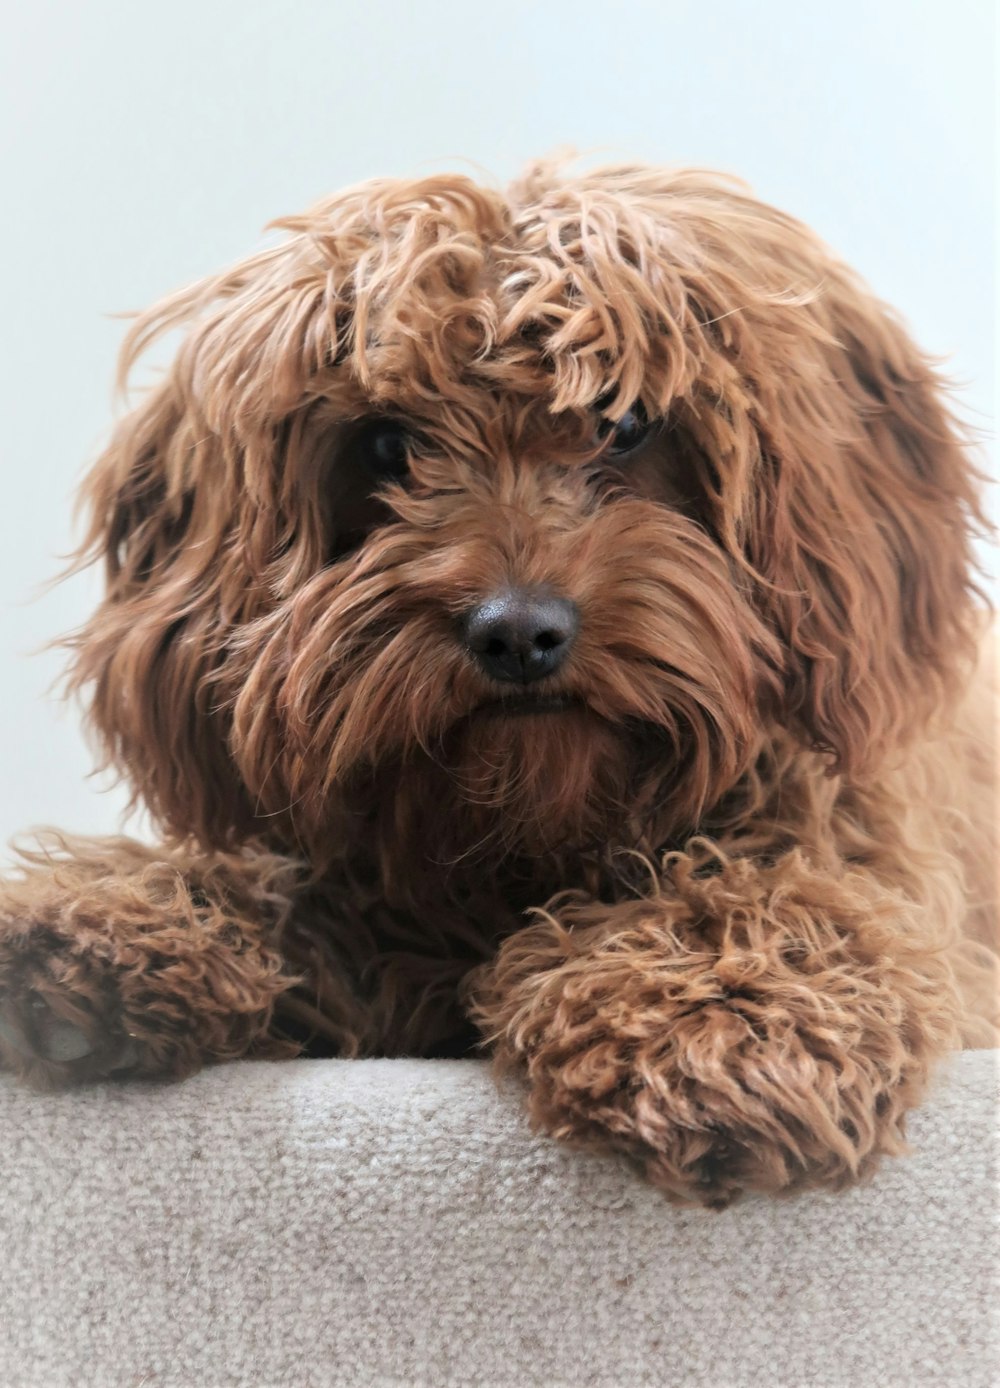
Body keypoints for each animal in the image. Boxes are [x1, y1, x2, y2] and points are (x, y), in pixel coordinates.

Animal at [1, 159, 999, 1204]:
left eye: (626, 421)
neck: (528, 845)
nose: (518, 633)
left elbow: (797, 889)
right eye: (387, 445)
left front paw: (714, 1010)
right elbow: (297, 896)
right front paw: (113, 916)